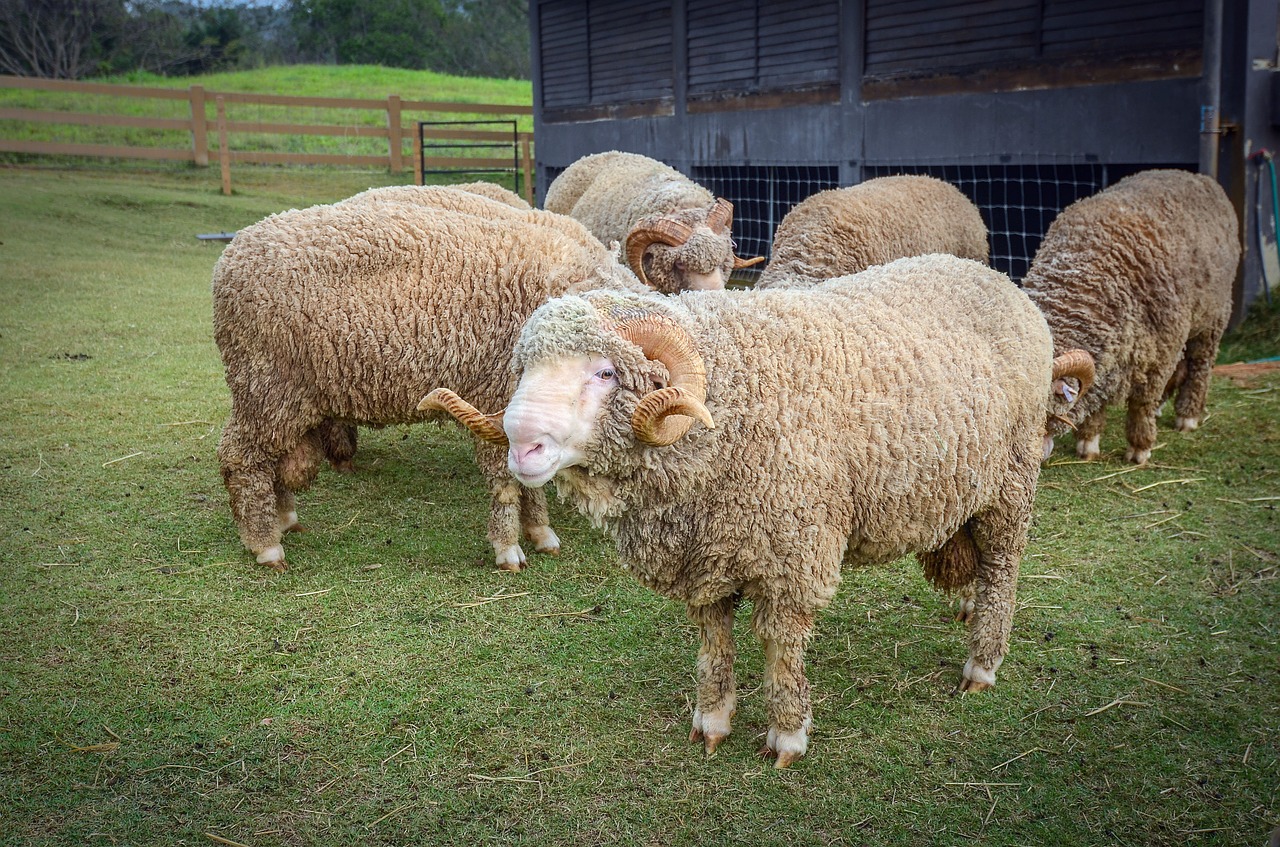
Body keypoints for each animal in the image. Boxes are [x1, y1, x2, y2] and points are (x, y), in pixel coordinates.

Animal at [212, 199, 650, 570]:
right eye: (609, 373)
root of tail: (233, 252)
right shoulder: (495, 396)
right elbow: (506, 480)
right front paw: (508, 547)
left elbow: (530, 478)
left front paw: (540, 531)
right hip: (264, 384)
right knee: (241, 457)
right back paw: (265, 544)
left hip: (284, 397)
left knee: (271, 459)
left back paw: (284, 516)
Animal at [427, 252, 1090, 767]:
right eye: (524, 368)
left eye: (606, 371)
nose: (522, 444)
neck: (728, 402)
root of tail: (996, 279)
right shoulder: (707, 555)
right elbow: (713, 640)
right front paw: (712, 721)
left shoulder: (793, 551)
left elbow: (780, 644)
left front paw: (787, 735)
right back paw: (969, 612)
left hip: (1010, 485)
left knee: (1002, 568)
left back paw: (982, 662)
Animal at [1018, 170, 1239, 468]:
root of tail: (1197, 176)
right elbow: (1098, 399)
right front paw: (1088, 442)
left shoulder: (1161, 351)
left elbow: (1141, 403)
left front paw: (1139, 447)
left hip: (1213, 316)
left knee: (1200, 366)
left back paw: (1188, 415)